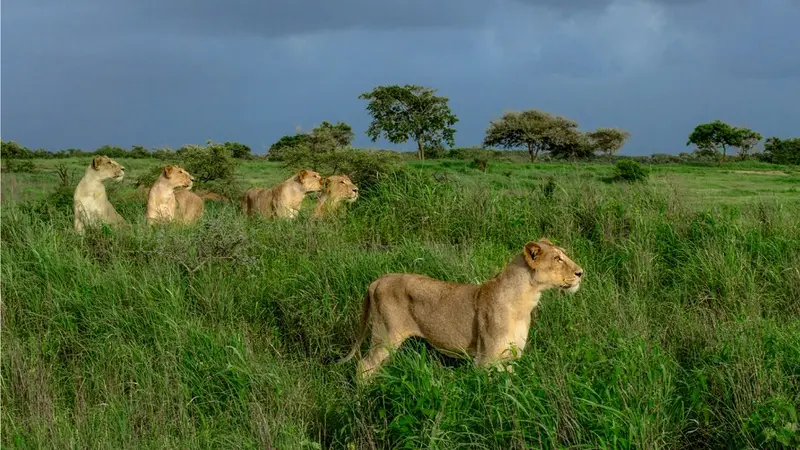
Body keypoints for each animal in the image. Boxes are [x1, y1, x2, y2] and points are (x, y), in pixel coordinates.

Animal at [338, 239, 584, 380]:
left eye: (564, 255)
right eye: (558, 258)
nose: (581, 272)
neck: (526, 300)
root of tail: (378, 280)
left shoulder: (510, 358)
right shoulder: (486, 360)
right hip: (385, 335)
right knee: (363, 367)